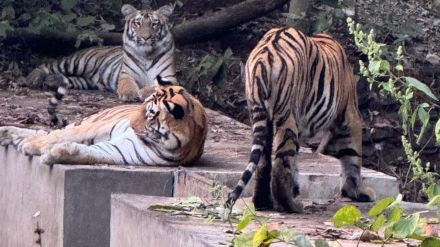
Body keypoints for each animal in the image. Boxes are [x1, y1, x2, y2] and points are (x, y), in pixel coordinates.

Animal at [0, 76, 207, 166]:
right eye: (143, 106)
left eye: (150, 114)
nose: (131, 124)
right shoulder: (95, 128)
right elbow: (58, 136)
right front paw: (31, 145)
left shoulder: (121, 151)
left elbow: (88, 153)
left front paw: (54, 153)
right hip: (93, 121)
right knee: (54, 131)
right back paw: (9, 133)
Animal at [25, 3, 176, 127]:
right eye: (137, 23)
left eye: (154, 24)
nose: (145, 37)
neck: (146, 54)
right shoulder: (126, 75)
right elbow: (127, 85)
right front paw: (130, 94)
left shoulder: (169, 78)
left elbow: (156, 87)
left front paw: (144, 91)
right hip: (77, 62)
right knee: (49, 65)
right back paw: (33, 79)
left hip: (85, 82)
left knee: (68, 79)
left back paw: (52, 80)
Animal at [225, 26, 376, 212]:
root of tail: (263, 57)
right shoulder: (349, 117)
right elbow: (352, 157)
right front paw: (357, 192)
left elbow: (295, 164)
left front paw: (295, 187)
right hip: (288, 116)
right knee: (281, 164)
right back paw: (292, 205)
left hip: (260, 114)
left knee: (264, 161)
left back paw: (263, 203)